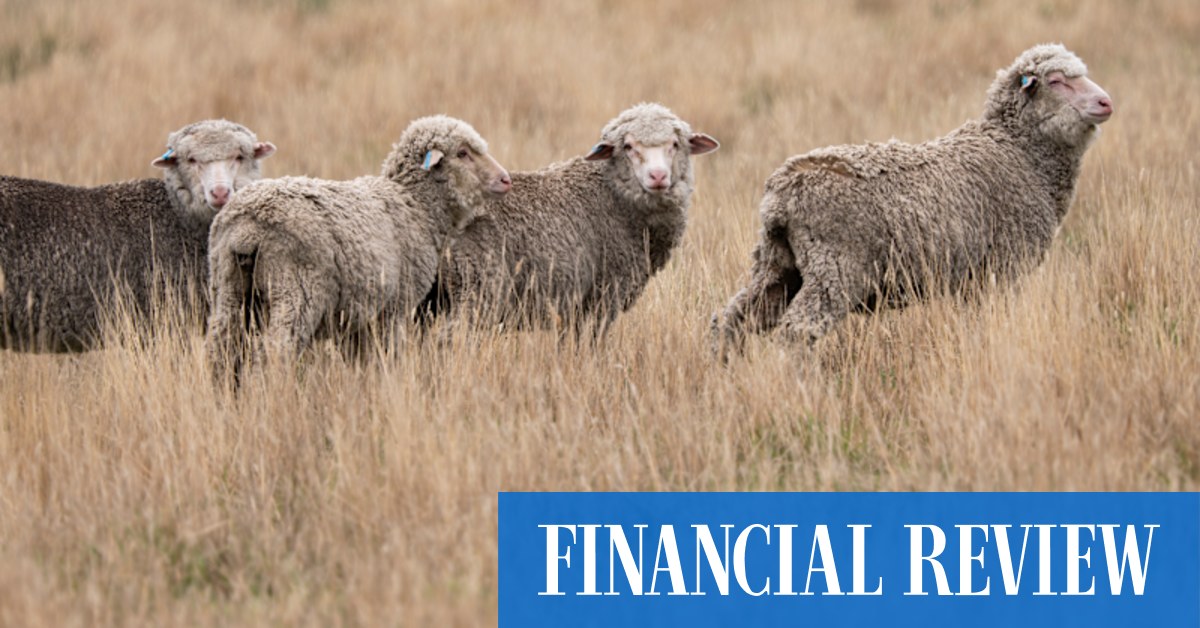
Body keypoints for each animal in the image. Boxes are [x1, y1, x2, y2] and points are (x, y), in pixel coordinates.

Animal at [205, 115, 511, 377]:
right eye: (462, 153)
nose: (505, 179)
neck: (414, 204)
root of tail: (247, 226)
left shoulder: (357, 319)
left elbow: (360, 362)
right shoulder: (394, 308)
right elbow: (387, 356)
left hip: (229, 288)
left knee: (220, 350)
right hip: (296, 290)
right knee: (274, 351)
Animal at [426, 103, 719, 336]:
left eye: (675, 145)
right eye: (628, 146)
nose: (658, 176)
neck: (612, 194)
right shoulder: (603, 296)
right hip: (475, 286)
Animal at [711, 43, 1113, 355]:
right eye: (1057, 81)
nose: (1105, 102)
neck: (1017, 150)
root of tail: (781, 192)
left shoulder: (972, 281)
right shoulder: (1004, 267)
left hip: (778, 264)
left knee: (731, 319)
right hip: (834, 268)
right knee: (796, 332)